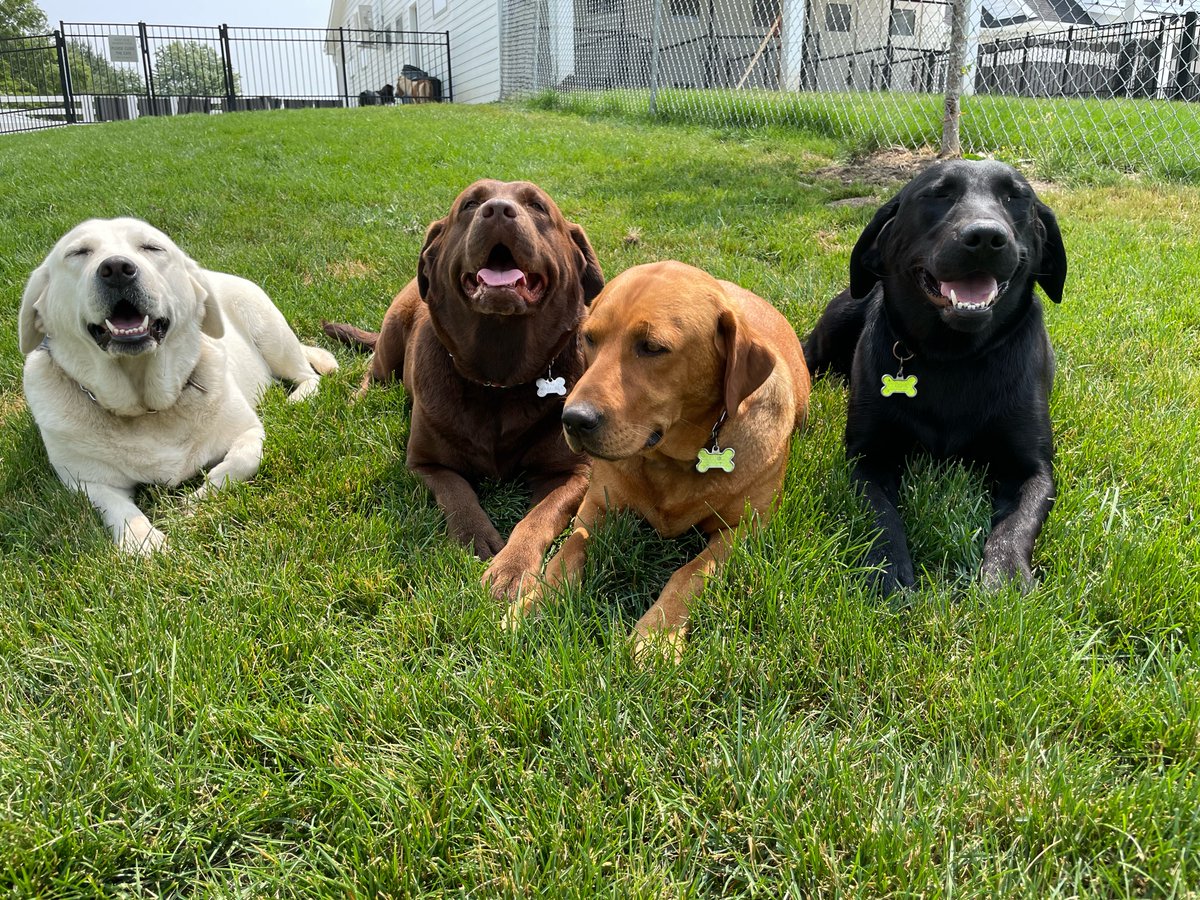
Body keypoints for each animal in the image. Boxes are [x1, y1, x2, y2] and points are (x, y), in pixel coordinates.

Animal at [18, 219, 338, 556]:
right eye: (78, 252)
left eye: (152, 247)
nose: (116, 268)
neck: (147, 406)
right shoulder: (84, 480)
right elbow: (116, 506)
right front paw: (144, 541)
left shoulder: (249, 431)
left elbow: (241, 460)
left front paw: (194, 503)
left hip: (270, 332)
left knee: (307, 374)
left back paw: (300, 396)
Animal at [806, 158, 1070, 595]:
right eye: (938, 194)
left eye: (1016, 197)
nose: (986, 237)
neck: (953, 356)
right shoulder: (867, 457)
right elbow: (881, 517)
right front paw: (887, 570)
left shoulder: (1031, 469)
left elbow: (1016, 524)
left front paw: (1006, 575)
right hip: (836, 324)